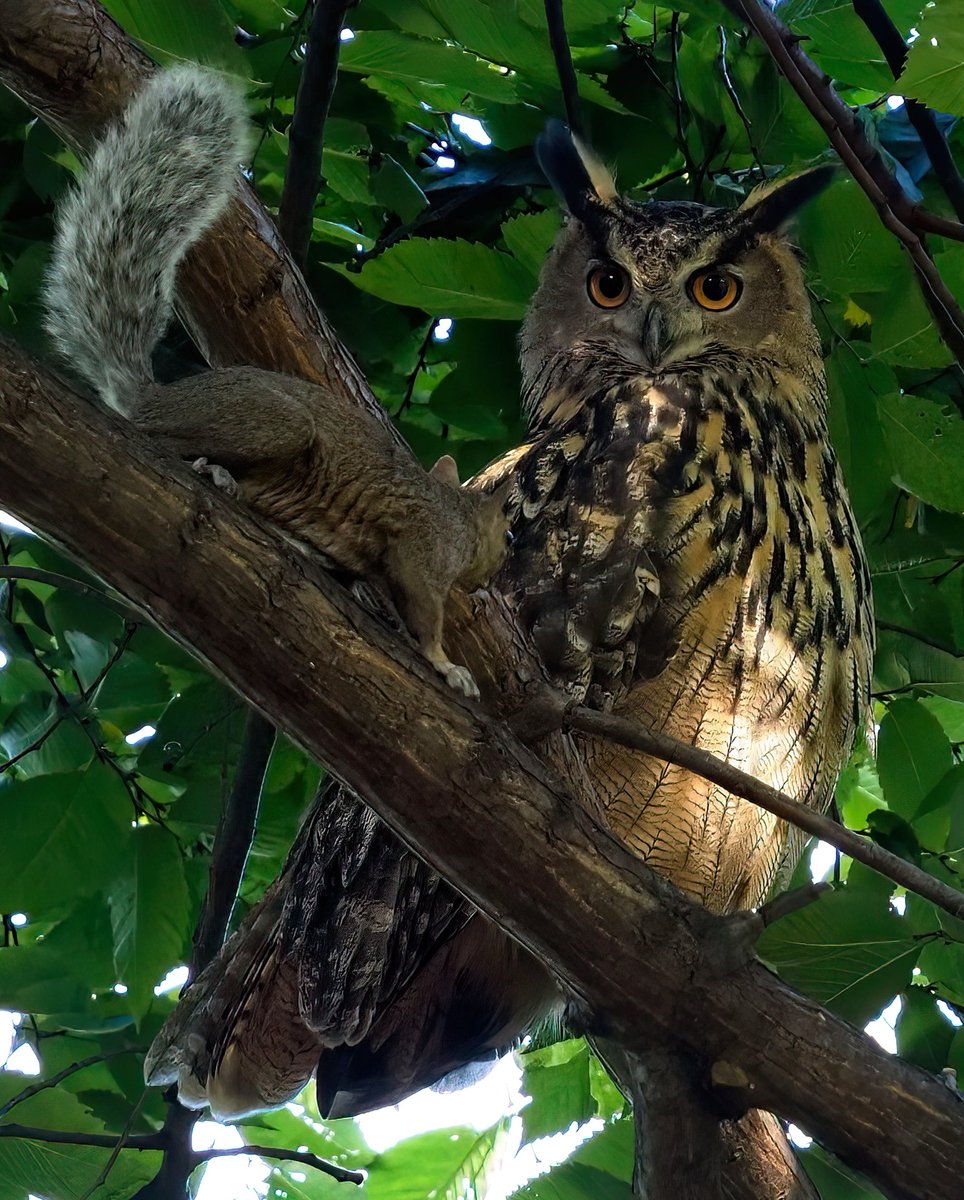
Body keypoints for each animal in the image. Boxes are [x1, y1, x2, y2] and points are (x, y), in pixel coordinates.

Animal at [44, 66, 510, 698]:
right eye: (507, 535)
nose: (493, 579)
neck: (455, 511)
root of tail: (153, 398)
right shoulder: (425, 547)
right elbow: (422, 608)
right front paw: (447, 665)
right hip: (271, 423)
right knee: (162, 442)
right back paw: (210, 470)